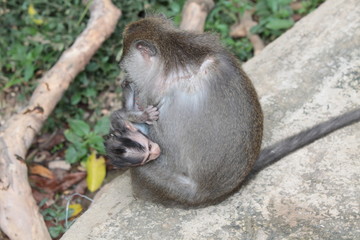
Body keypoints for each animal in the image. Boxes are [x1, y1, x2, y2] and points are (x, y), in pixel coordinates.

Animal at [113, 15, 360, 207]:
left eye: (127, 67)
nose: (126, 79)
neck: (176, 53)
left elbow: (157, 146)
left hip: (171, 188)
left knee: (142, 170)